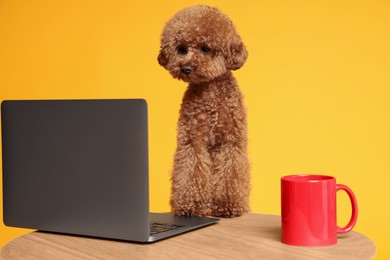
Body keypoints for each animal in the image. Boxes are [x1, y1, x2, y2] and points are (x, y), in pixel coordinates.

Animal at [158, 5, 250, 218]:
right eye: (181, 48)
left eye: (205, 48)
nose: (186, 68)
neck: (210, 94)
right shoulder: (192, 141)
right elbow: (191, 172)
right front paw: (190, 206)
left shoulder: (231, 141)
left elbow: (230, 174)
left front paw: (227, 205)